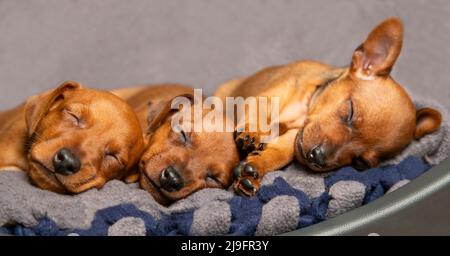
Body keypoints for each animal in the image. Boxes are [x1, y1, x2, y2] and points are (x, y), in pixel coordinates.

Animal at [215, 17, 442, 196]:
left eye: (360, 162)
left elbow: (281, 153)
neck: (305, 105)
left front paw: (255, 169)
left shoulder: (295, 136)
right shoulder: (265, 98)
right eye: (350, 111)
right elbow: (258, 114)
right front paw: (252, 132)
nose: (318, 158)